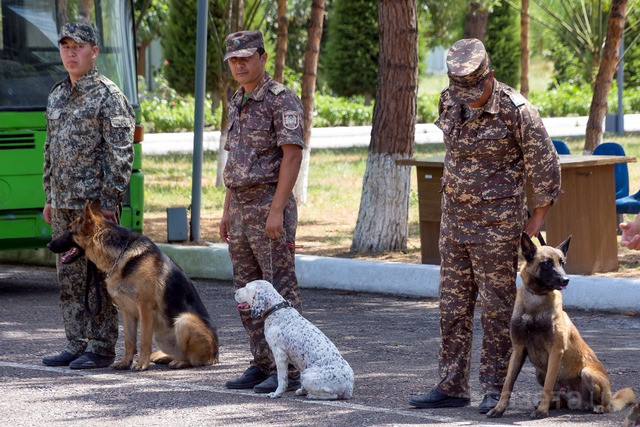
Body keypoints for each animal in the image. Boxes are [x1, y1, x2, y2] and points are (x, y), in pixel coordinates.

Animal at [46, 201, 219, 372]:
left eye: (69, 230)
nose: (48, 245)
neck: (120, 256)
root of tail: (215, 356)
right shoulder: (127, 311)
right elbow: (129, 341)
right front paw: (125, 362)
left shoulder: (146, 309)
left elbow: (143, 341)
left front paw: (141, 364)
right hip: (161, 334)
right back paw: (165, 357)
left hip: (184, 320)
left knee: (192, 358)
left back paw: (181, 362)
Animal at [488, 232, 636, 420]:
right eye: (546, 263)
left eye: (562, 262)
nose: (566, 280)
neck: (536, 299)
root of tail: (580, 403)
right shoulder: (518, 350)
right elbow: (508, 383)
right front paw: (499, 408)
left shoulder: (555, 352)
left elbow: (547, 386)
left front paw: (541, 411)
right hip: (539, 373)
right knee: (562, 400)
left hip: (587, 373)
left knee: (605, 405)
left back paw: (596, 407)